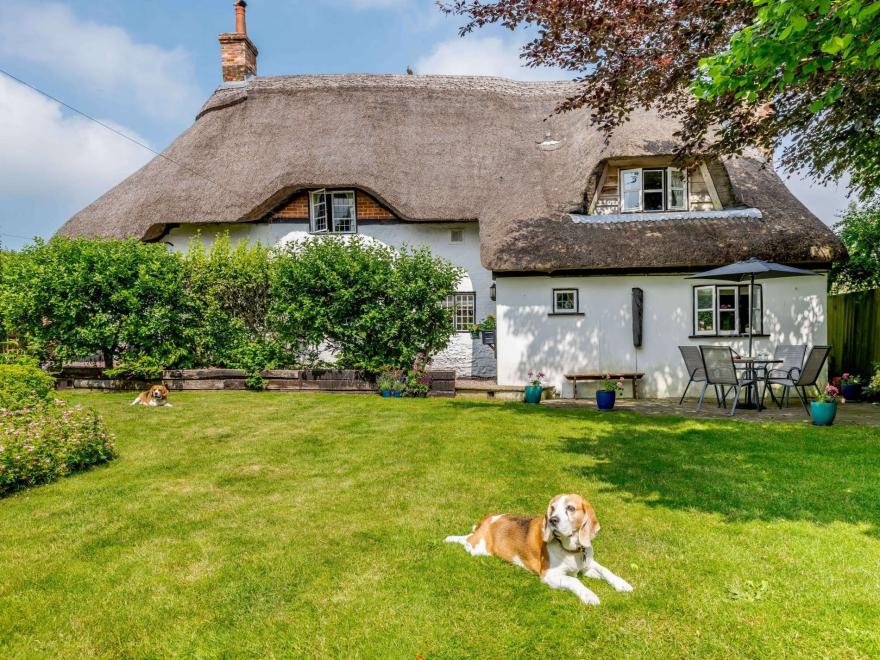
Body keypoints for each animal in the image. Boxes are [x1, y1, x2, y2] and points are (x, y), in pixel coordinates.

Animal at [446, 492, 632, 604]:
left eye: (570, 508)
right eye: (552, 508)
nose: (552, 520)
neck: (572, 550)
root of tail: (490, 518)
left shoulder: (587, 564)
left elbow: (605, 570)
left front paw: (622, 584)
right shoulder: (549, 575)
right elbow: (574, 580)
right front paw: (589, 595)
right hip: (478, 548)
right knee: (466, 539)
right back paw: (450, 538)